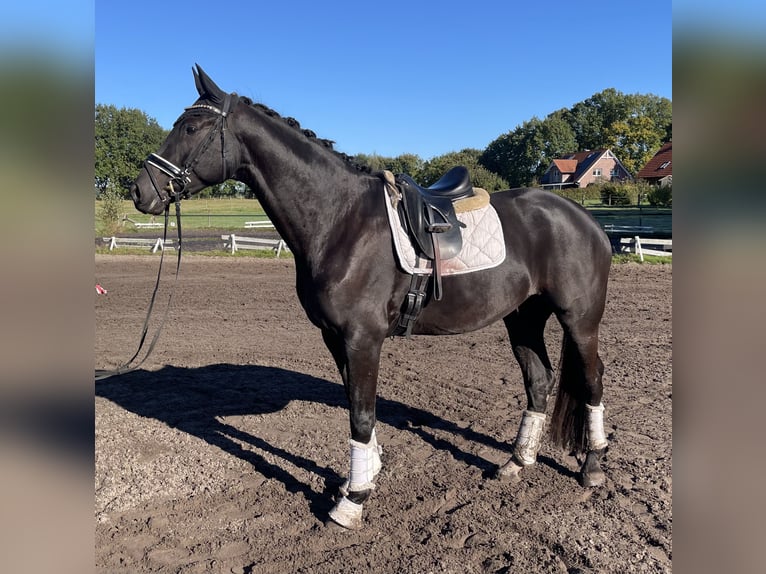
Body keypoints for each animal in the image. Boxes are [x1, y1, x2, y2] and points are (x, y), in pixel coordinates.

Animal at [130, 64, 612, 532]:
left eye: (191, 127)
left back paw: (592, 466)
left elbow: (360, 415)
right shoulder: (336, 338)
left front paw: (352, 503)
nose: (140, 191)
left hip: (580, 321)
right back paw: (517, 461)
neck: (340, 220)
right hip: (523, 318)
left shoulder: (362, 338)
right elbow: (357, 406)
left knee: (592, 380)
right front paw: (363, 478)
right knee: (539, 381)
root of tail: (585, 219)